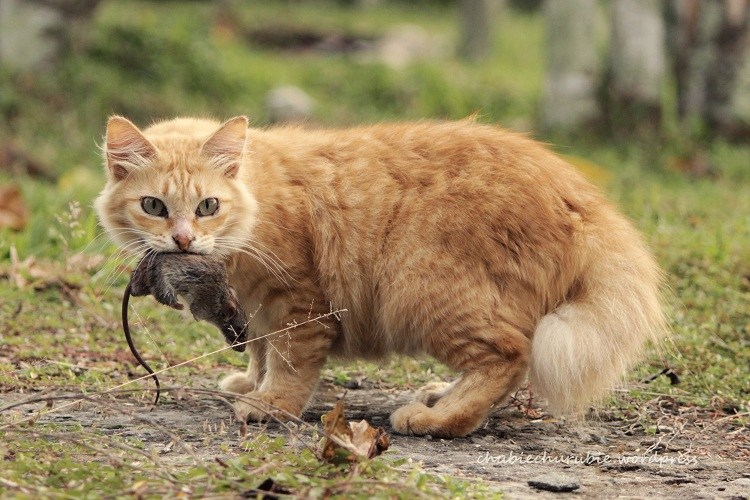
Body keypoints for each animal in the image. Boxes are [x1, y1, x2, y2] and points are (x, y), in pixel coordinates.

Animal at [97, 115, 668, 436]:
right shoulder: (255, 306)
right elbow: (259, 351)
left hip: (423, 289)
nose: (183, 241)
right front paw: (251, 384)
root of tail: (579, 197)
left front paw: (271, 405)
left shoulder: (297, 302)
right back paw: (440, 397)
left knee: (510, 355)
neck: (256, 201)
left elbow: (288, 362)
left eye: (208, 206)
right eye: (154, 206)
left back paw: (436, 420)